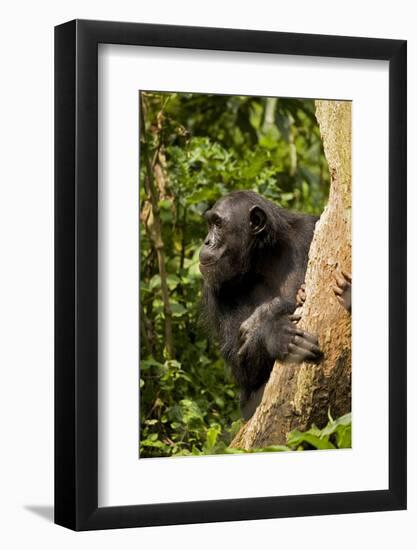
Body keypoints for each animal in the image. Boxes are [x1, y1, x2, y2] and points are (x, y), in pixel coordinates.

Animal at [198, 192, 322, 420]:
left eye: (218, 224)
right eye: (210, 224)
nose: (207, 241)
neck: (262, 259)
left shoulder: (311, 228)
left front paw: (268, 313)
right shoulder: (215, 289)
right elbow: (242, 369)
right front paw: (273, 332)